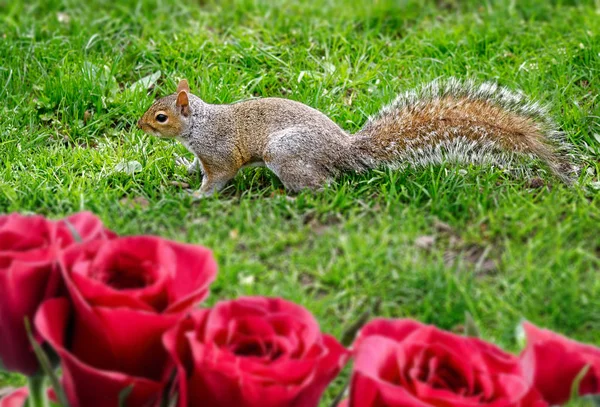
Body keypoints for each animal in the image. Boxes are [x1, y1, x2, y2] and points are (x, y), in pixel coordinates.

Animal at [137, 78, 576, 198]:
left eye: (160, 116)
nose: (140, 126)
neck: (198, 125)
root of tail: (344, 152)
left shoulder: (221, 154)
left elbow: (219, 178)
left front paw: (195, 197)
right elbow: (196, 166)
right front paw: (183, 169)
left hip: (284, 153)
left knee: (324, 186)